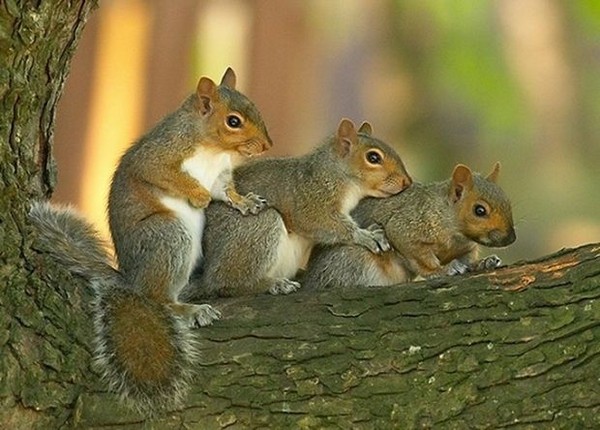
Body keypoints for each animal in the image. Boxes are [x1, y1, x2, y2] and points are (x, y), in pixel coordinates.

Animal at [180, 117, 410, 298]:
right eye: (373, 157)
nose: (406, 182)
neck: (338, 174)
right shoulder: (311, 198)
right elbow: (322, 222)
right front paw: (366, 235)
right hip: (256, 227)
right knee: (224, 282)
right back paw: (272, 284)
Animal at [302, 161, 516, 288]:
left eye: (508, 201)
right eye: (479, 210)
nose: (511, 238)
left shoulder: (466, 248)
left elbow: (468, 260)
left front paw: (483, 263)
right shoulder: (407, 228)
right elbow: (422, 260)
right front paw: (442, 270)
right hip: (353, 261)